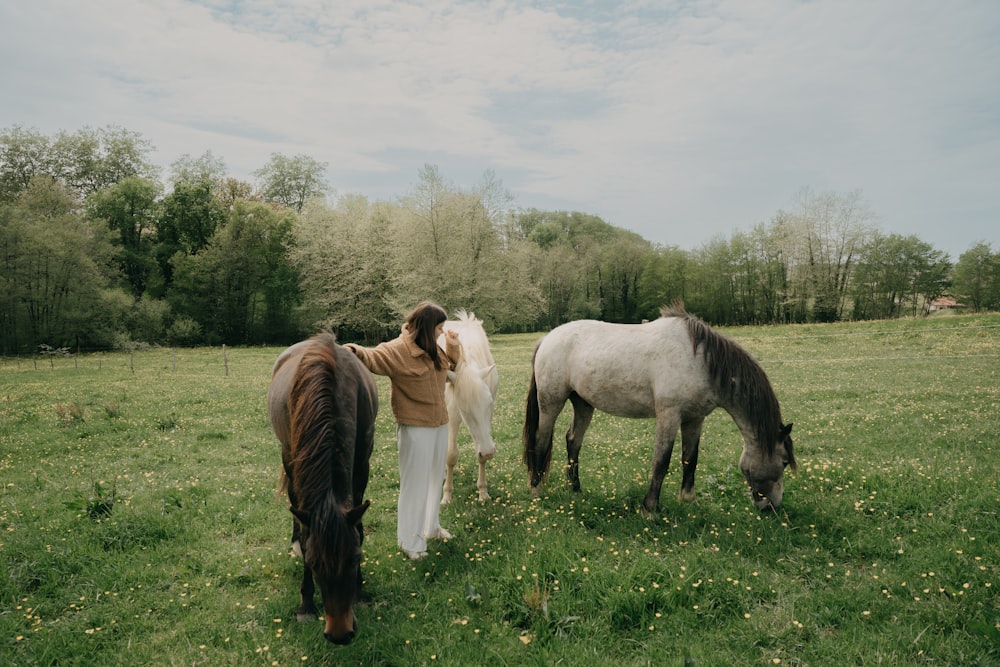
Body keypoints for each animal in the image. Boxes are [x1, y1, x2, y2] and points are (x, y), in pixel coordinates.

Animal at [268, 336, 376, 644]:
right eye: (314, 563)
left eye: (355, 558)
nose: (339, 634)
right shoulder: (294, 462)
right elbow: (305, 531)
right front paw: (306, 605)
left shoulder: (362, 465)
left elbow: (359, 527)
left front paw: (360, 591)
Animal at [440, 310, 498, 504]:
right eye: (465, 410)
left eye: (489, 404)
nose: (488, 452)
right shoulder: (452, 415)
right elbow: (450, 454)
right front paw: (447, 495)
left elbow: (479, 454)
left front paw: (483, 492)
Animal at [524, 306, 796, 516]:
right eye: (784, 461)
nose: (772, 507)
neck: (699, 361)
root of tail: (546, 339)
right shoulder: (669, 416)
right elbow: (662, 461)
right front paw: (649, 509)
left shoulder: (694, 419)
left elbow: (690, 459)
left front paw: (688, 501)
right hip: (551, 403)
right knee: (540, 440)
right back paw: (536, 490)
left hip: (583, 404)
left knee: (573, 441)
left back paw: (576, 490)